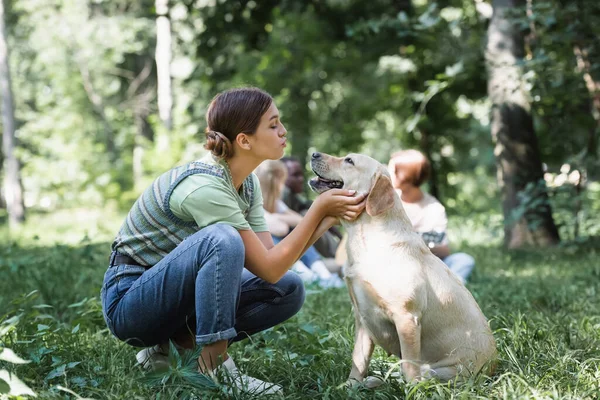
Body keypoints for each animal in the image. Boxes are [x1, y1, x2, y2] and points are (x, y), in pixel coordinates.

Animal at [310, 152, 496, 384]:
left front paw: (412, 389)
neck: (364, 238)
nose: (313, 153)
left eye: (349, 160)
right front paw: (351, 385)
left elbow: (409, 366)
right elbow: (359, 360)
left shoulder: (406, 318)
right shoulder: (362, 318)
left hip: (443, 371)